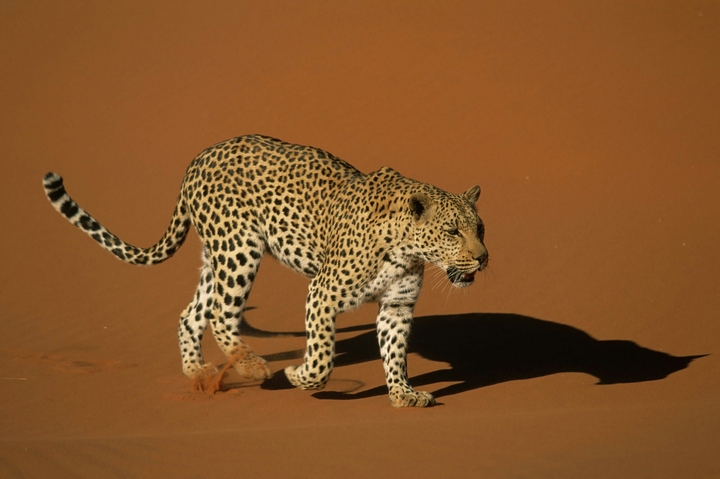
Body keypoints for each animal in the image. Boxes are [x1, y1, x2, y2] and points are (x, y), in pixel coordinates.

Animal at [43, 134, 488, 407]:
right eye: (452, 231)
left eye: (480, 228)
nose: (483, 258)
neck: (407, 248)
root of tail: (198, 158)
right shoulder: (322, 293)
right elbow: (322, 356)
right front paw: (299, 375)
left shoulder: (397, 306)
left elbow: (395, 353)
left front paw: (403, 394)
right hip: (239, 250)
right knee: (221, 314)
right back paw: (252, 366)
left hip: (217, 258)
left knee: (192, 314)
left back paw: (199, 372)